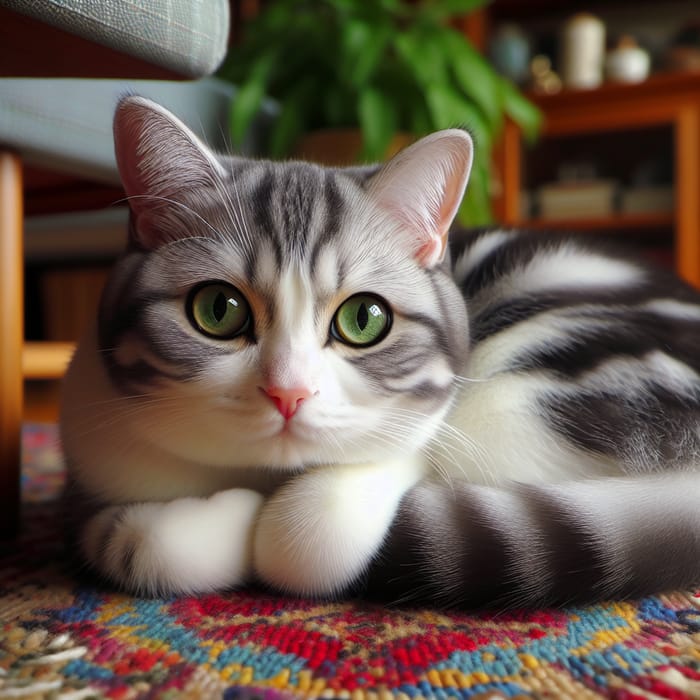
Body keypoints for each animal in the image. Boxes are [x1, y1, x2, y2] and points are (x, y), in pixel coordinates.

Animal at [60, 95, 700, 608]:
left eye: (363, 319)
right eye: (219, 310)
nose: (289, 392)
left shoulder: (440, 426)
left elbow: (302, 536)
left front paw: (251, 513)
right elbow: (143, 542)